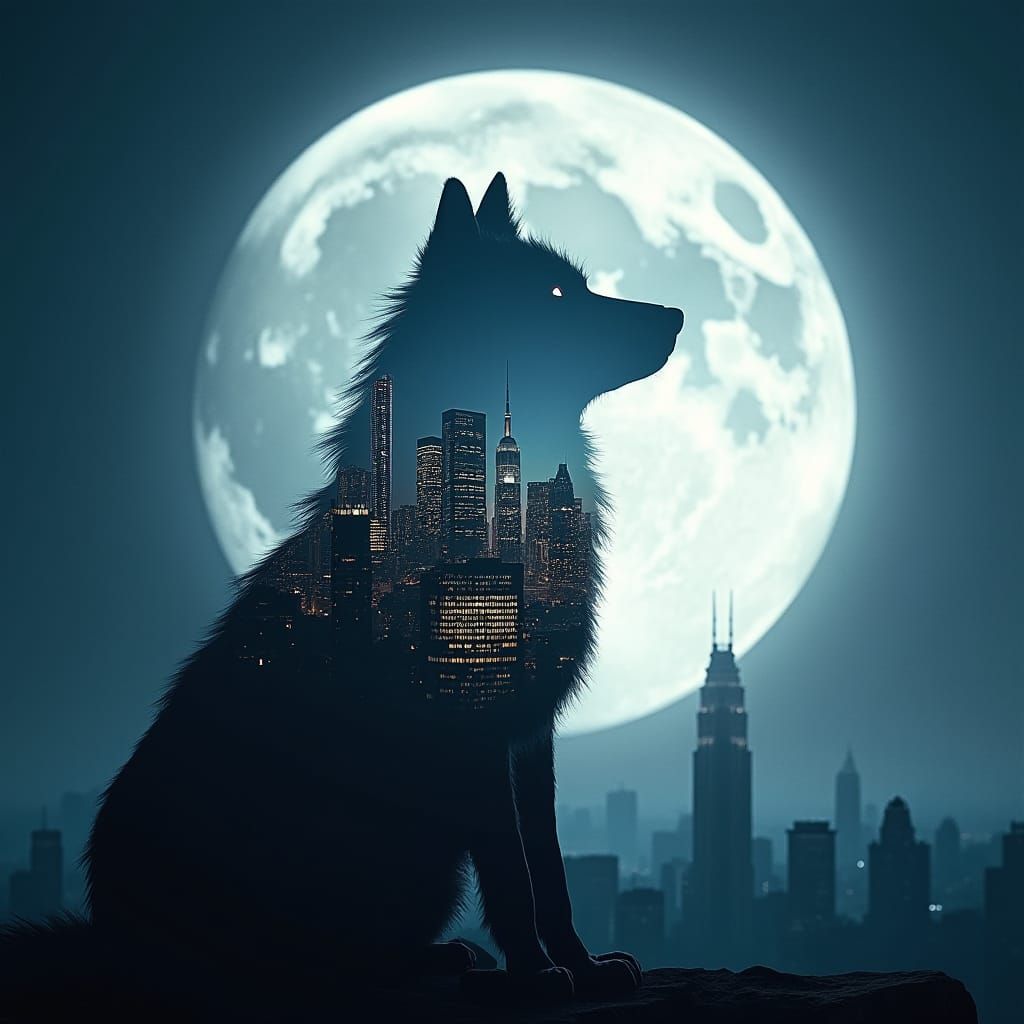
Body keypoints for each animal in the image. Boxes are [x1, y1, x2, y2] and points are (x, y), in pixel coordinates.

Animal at [1, 174, 683, 1018]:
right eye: (559, 293)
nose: (676, 317)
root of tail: (108, 939)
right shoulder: (473, 733)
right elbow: (513, 872)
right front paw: (534, 974)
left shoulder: (528, 737)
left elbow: (549, 867)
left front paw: (582, 966)